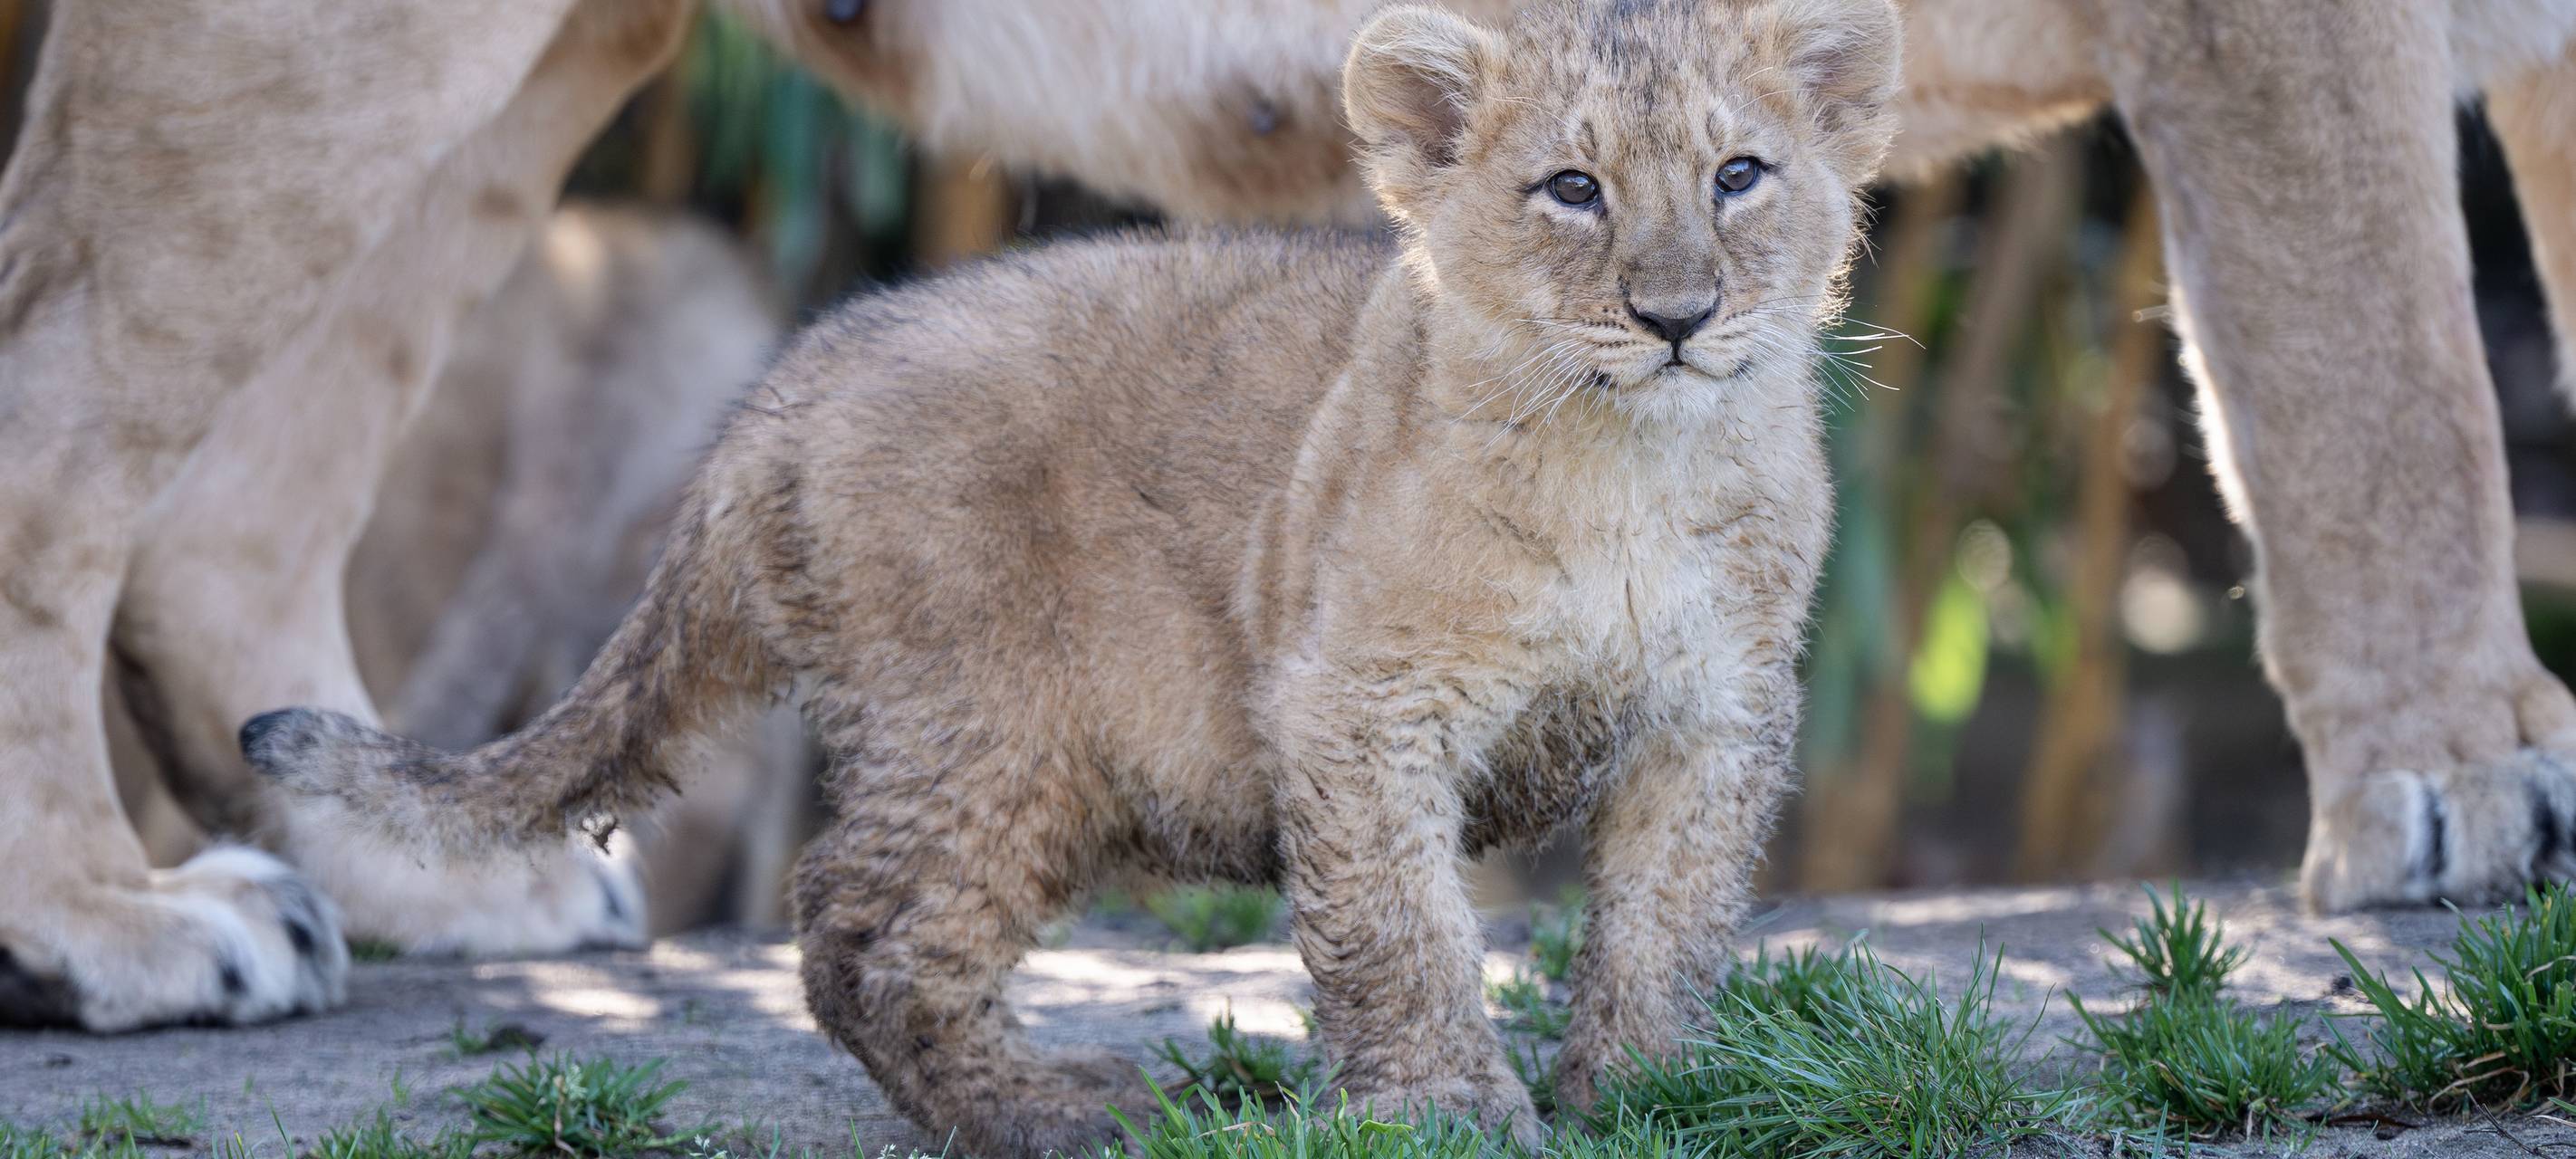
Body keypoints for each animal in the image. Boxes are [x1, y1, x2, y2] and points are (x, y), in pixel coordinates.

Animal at [240, 0, 1897, 1151]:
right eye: (1569, 190)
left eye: (1738, 176)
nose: (1675, 315)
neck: (1633, 467)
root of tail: (791, 380)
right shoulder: (1358, 705)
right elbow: (1403, 929)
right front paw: (1443, 1109)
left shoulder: (1714, 716)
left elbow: (1667, 922)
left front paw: (1652, 1094)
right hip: (992, 730)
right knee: (860, 935)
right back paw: (1063, 1107)